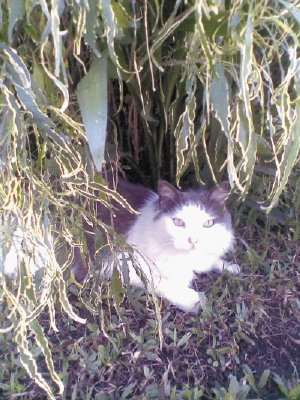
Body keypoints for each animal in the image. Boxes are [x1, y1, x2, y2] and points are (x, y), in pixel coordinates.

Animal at [72, 177, 239, 314]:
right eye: (178, 222)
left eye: (208, 223)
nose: (193, 240)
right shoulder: (115, 264)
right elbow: (159, 283)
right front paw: (190, 300)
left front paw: (230, 267)